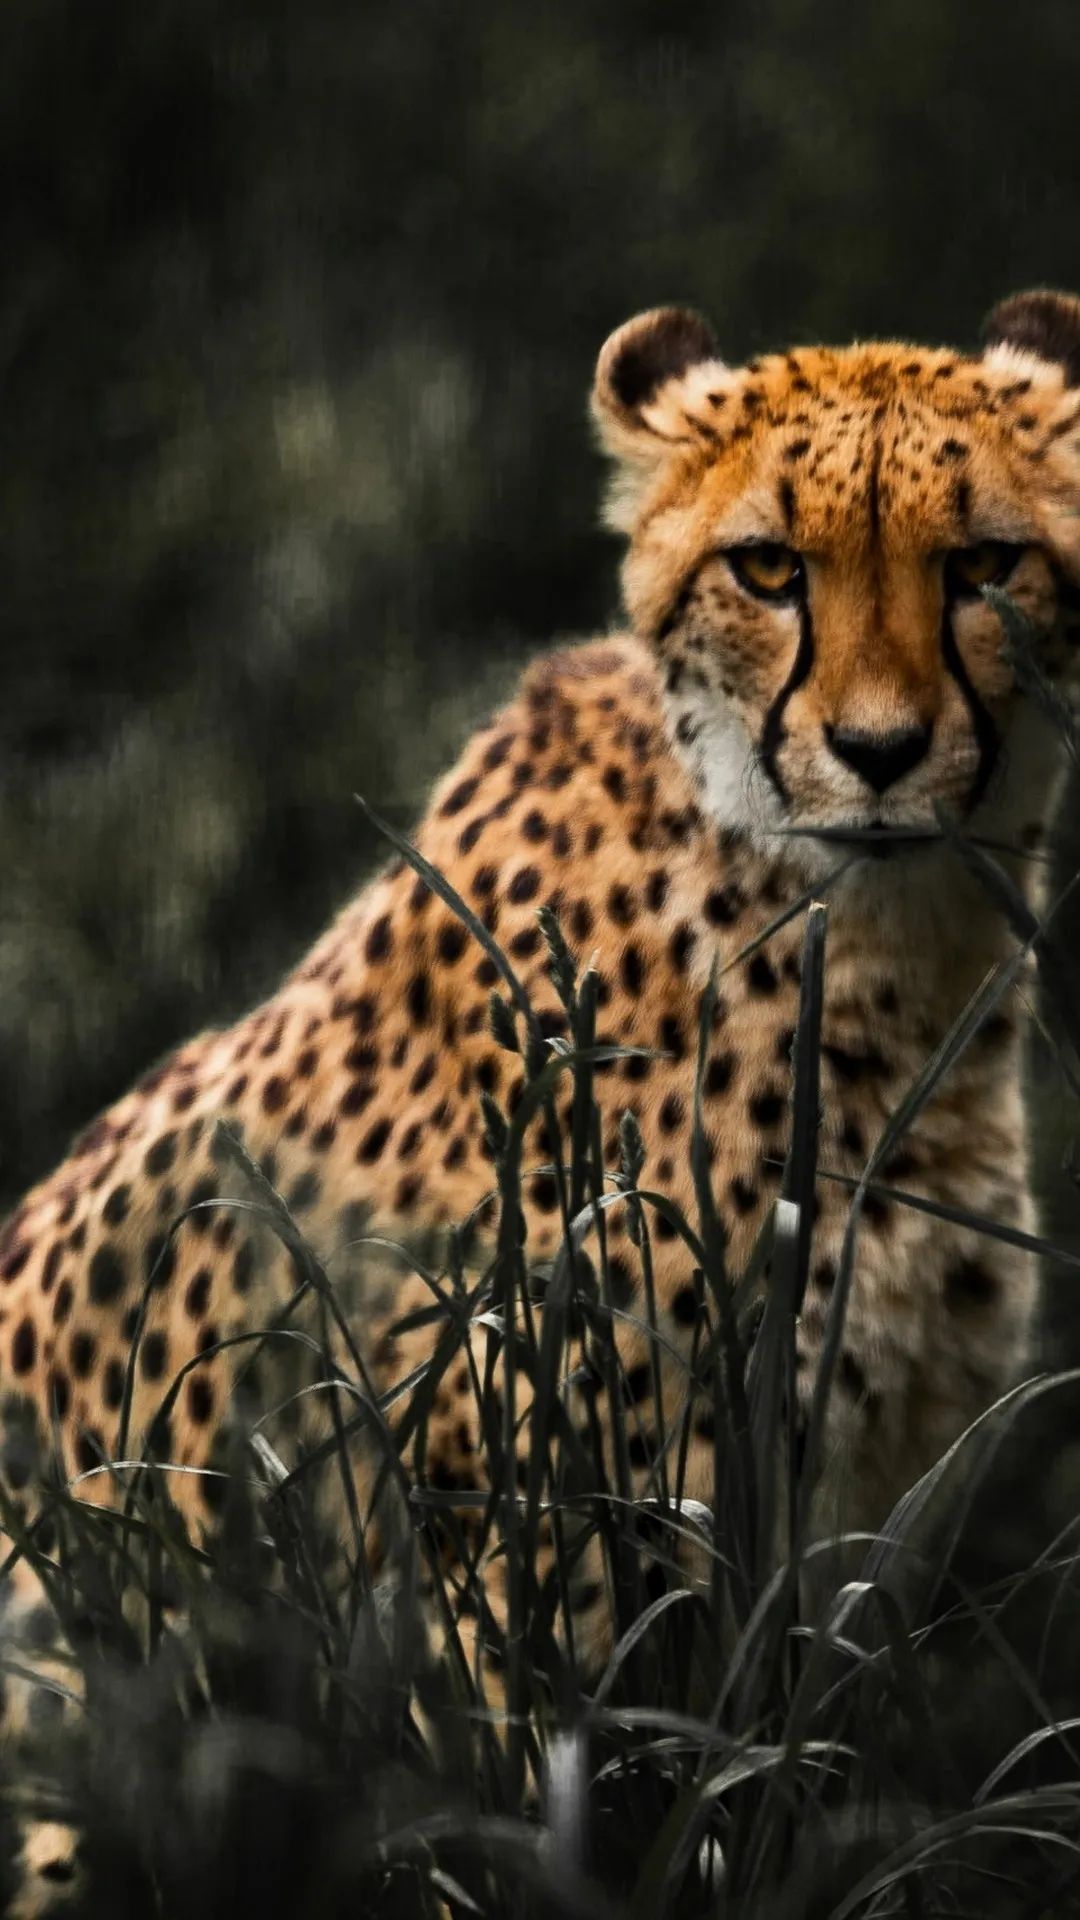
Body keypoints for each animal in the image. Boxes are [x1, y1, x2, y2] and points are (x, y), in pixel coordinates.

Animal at [3, 285, 1080, 1909]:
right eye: (770, 568)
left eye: (984, 565)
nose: (881, 754)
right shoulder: (509, 1535)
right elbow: (563, 1812)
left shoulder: (858, 1525)